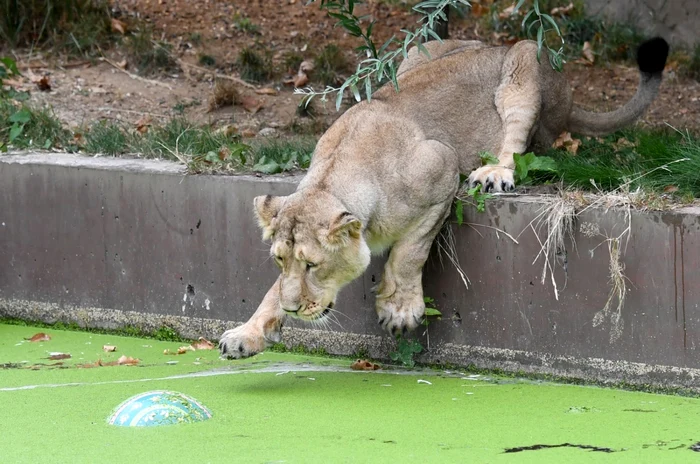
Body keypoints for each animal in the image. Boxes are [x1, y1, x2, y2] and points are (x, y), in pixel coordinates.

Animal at [219, 37, 669, 358]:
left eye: (313, 265)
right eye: (280, 259)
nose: (294, 311)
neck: (332, 178)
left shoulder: (441, 168)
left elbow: (409, 252)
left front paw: (399, 309)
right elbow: (273, 290)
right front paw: (247, 333)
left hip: (525, 62)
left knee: (517, 145)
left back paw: (493, 175)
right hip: (420, 51)